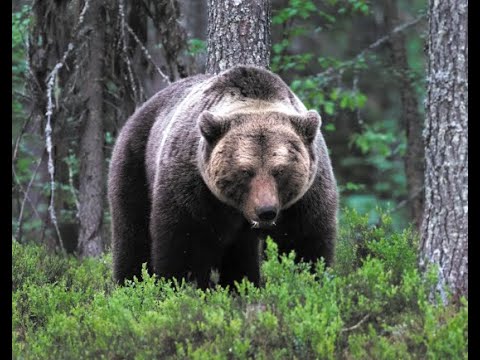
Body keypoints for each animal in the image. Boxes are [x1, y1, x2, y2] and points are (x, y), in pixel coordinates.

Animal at [109, 65, 338, 290]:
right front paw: (181, 286)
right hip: (135, 161)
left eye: (279, 170)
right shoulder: (194, 187)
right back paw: (130, 284)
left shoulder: (305, 196)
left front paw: (308, 279)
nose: (266, 211)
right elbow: (185, 245)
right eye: (246, 171)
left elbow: (305, 243)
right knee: (132, 233)